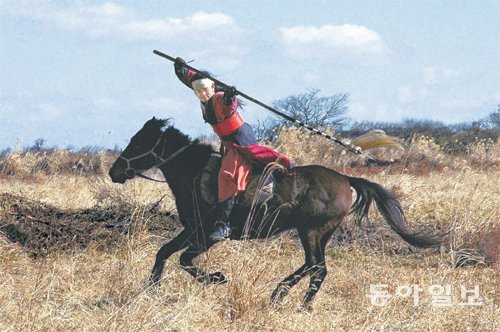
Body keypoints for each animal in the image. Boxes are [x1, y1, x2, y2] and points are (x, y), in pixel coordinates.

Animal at [108, 116, 442, 308]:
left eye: (138, 141)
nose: (115, 171)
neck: (194, 171)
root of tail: (346, 179)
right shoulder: (191, 230)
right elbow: (164, 253)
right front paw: (151, 290)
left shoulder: (206, 235)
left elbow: (185, 260)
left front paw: (217, 278)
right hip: (319, 233)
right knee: (316, 267)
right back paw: (291, 300)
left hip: (311, 230)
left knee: (316, 266)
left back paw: (286, 298)